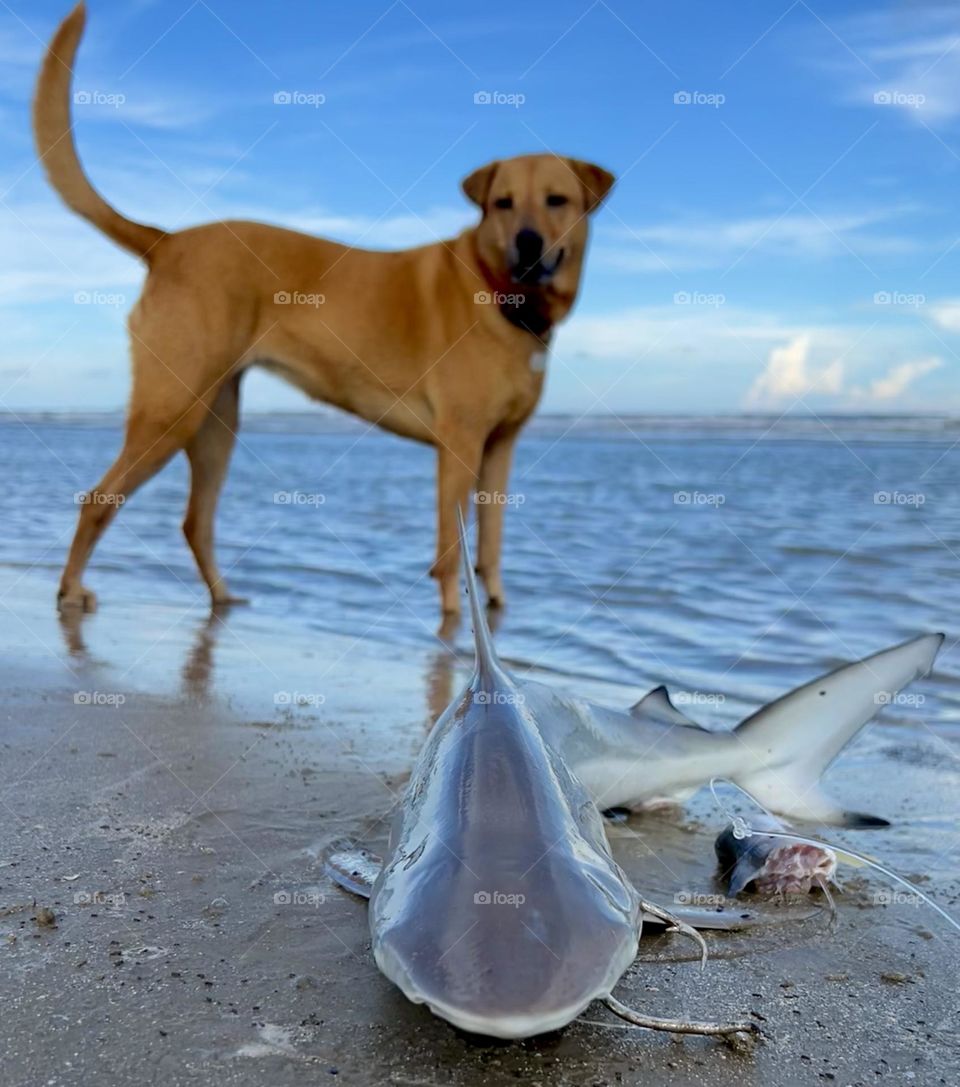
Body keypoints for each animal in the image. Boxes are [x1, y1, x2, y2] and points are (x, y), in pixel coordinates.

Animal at [33, 6, 617, 621]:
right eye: (503, 203)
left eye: (557, 201)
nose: (528, 245)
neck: (501, 296)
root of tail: (167, 242)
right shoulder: (459, 445)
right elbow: (449, 553)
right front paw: (456, 624)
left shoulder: (499, 449)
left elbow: (493, 546)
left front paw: (497, 612)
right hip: (172, 410)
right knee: (100, 499)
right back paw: (71, 590)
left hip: (216, 421)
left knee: (196, 522)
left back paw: (223, 597)